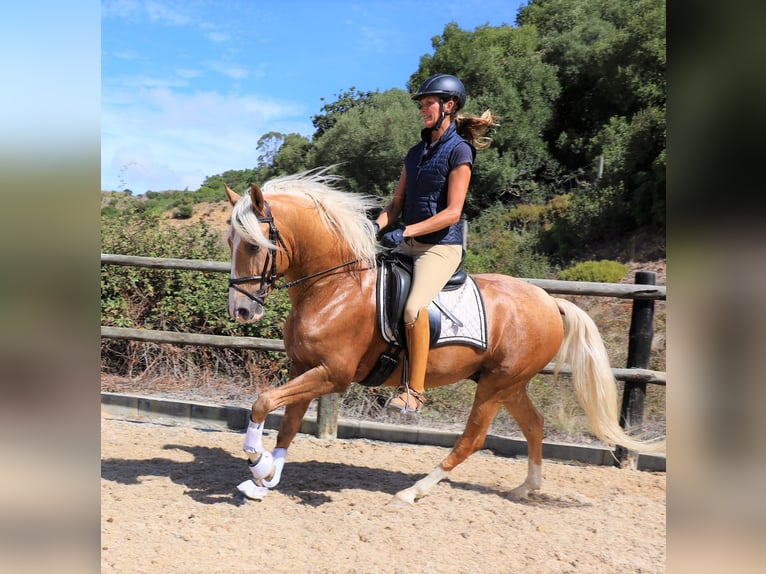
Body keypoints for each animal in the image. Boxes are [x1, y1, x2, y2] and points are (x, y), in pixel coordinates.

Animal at [224, 170, 664, 504]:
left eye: (254, 245)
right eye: (231, 242)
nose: (241, 311)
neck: (335, 286)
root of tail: (549, 302)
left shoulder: (333, 374)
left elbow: (263, 403)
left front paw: (257, 462)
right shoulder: (304, 367)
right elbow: (287, 422)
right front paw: (265, 479)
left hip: (495, 385)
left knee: (472, 439)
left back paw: (414, 491)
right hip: (509, 383)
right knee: (534, 425)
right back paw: (526, 488)